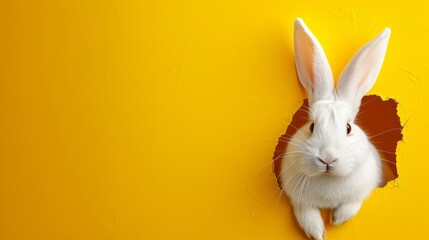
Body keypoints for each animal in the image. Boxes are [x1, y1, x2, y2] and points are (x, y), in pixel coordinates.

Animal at [280, 19, 390, 240]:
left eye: (348, 128)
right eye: (311, 126)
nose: (327, 158)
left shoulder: (363, 190)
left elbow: (352, 205)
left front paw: (337, 219)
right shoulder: (298, 200)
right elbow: (306, 215)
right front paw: (318, 233)